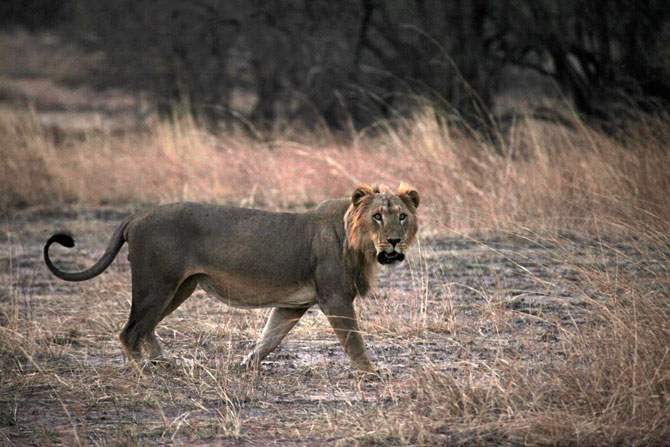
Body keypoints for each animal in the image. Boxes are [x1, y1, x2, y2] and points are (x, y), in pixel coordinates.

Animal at [43, 184, 420, 376]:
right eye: (377, 217)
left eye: (402, 216)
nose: (394, 241)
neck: (360, 245)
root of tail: (137, 214)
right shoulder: (335, 298)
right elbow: (354, 340)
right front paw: (371, 372)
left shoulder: (292, 304)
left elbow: (270, 338)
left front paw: (247, 364)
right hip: (157, 283)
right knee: (130, 331)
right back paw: (143, 371)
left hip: (180, 287)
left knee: (146, 327)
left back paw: (167, 362)